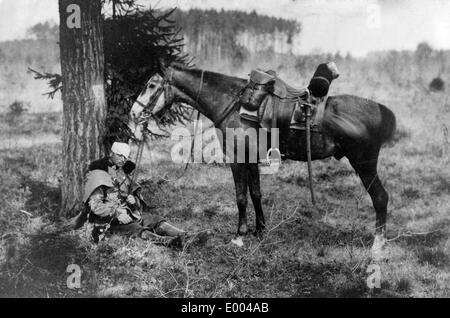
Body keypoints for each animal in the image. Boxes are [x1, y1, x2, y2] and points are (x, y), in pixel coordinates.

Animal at [128, 62, 396, 256]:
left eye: (151, 85)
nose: (134, 113)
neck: (233, 103)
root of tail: (382, 110)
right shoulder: (251, 158)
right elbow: (256, 193)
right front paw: (260, 230)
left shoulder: (237, 159)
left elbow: (241, 197)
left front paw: (239, 236)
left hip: (364, 165)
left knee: (381, 198)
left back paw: (378, 245)